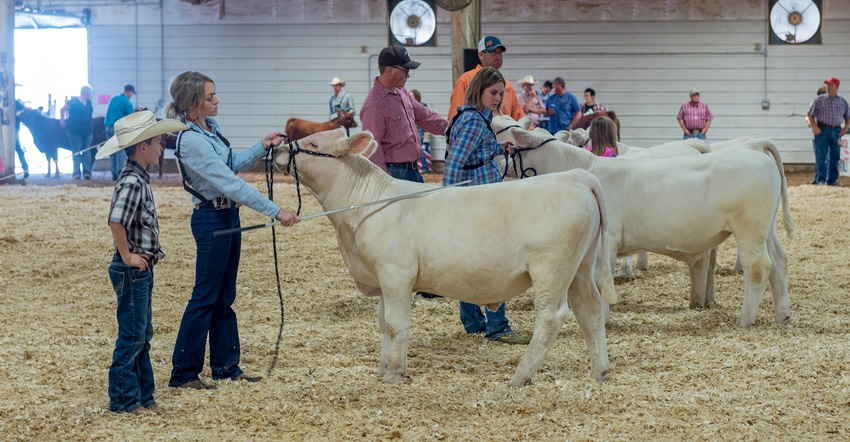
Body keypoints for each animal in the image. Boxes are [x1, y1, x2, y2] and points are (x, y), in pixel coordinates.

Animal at [278, 129, 616, 386]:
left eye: (313, 144)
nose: (279, 148)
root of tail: (574, 177)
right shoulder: (381, 277)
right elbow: (383, 324)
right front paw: (383, 368)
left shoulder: (396, 274)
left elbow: (396, 324)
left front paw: (395, 374)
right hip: (580, 268)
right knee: (590, 310)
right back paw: (599, 371)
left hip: (551, 269)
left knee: (551, 318)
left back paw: (520, 376)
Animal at [494, 126, 792, 326]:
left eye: (510, 145)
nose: (496, 161)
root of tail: (758, 152)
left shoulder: (607, 244)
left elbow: (602, 279)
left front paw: (603, 318)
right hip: (766, 229)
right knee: (779, 261)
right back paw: (783, 315)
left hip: (749, 228)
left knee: (758, 267)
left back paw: (746, 319)